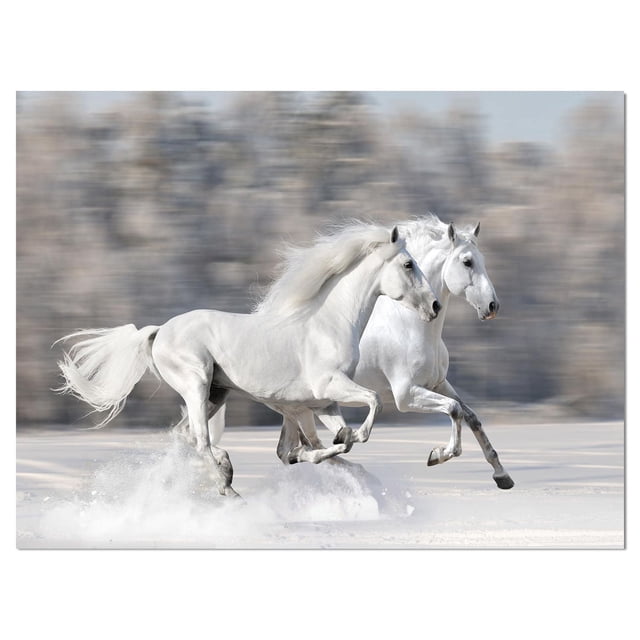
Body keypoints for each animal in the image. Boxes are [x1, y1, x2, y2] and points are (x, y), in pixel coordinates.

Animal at [55, 223, 441, 497]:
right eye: (408, 264)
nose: (435, 306)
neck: (329, 323)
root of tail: (159, 331)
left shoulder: (322, 403)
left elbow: (325, 443)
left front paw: (340, 442)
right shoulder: (330, 388)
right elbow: (371, 404)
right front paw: (354, 436)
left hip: (216, 392)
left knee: (185, 435)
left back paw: (225, 473)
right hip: (196, 384)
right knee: (199, 438)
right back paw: (227, 483)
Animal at [212, 214, 514, 489]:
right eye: (467, 261)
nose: (492, 306)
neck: (410, 325)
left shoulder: (438, 383)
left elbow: (470, 416)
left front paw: (502, 476)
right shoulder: (406, 394)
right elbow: (453, 410)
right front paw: (439, 455)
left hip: (294, 407)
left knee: (291, 450)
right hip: (300, 406)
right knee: (303, 447)